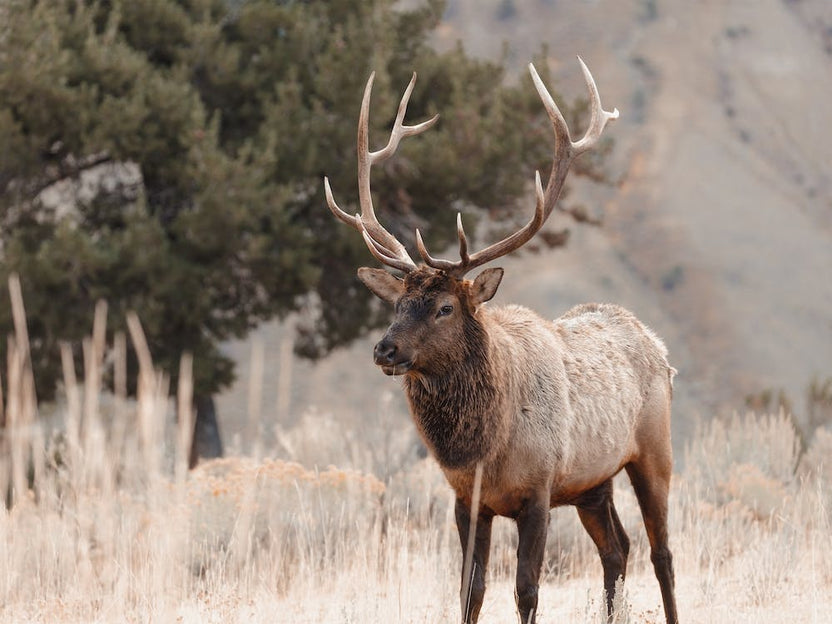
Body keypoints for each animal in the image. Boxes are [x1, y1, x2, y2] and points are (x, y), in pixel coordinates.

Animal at [323, 58, 678, 624]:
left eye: (445, 307)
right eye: (398, 304)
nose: (384, 349)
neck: (485, 450)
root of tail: (658, 346)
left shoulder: (538, 490)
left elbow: (526, 590)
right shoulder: (467, 501)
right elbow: (470, 591)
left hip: (653, 451)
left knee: (661, 552)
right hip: (592, 484)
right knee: (617, 550)